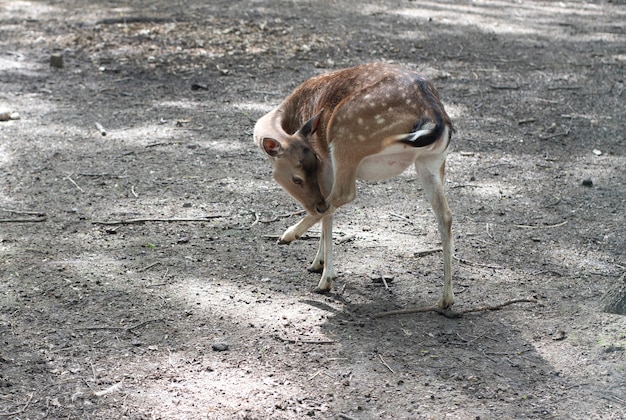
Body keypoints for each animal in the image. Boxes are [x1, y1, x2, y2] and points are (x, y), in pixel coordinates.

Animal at [254, 62, 454, 308]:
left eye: (296, 178)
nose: (314, 204)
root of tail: (433, 115)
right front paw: (317, 263)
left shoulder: (326, 160)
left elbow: (328, 210)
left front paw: (323, 271)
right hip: (432, 162)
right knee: (445, 215)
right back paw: (445, 300)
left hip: (345, 140)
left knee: (343, 195)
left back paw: (293, 242)